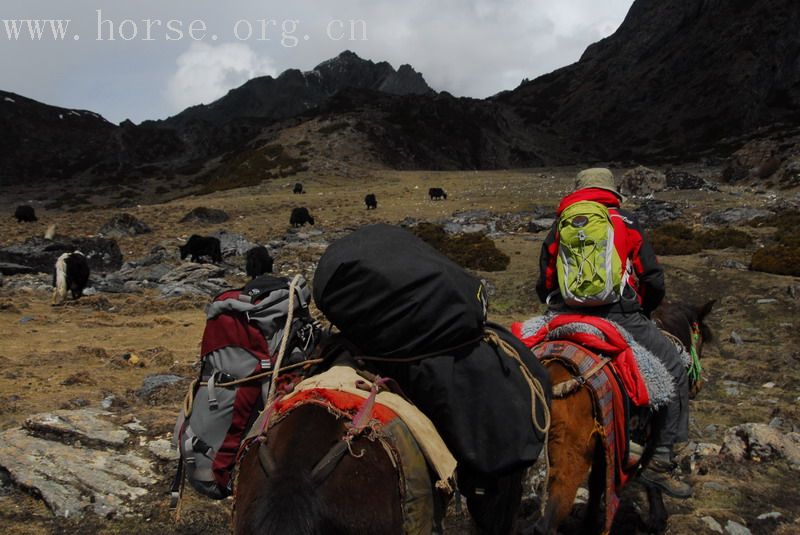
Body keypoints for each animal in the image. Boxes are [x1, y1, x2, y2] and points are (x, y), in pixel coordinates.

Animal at [532, 302, 712, 535]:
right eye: (700, 341)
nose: (697, 387)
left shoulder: (606, 446)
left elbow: (597, 483)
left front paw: (590, 523)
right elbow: (651, 479)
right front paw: (658, 518)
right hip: (570, 458)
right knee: (547, 521)